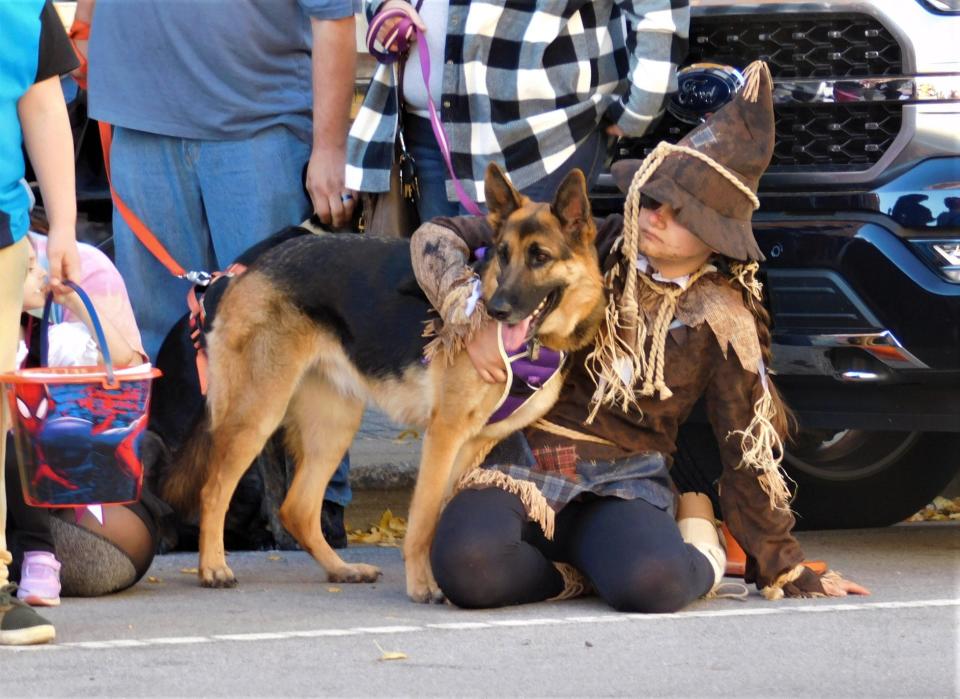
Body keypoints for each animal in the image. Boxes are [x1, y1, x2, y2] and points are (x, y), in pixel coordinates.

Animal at [174, 163, 600, 600]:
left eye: (540, 257)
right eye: (502, 254)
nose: (495, 310)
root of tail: (243, 272)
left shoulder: (470, 444)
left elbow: (439, 515)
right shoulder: (444, 435)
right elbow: (424, 519)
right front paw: (422, 585)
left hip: (333, 426)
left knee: (298, 509)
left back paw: (341, 569)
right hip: (259, 414)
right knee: (214, 491)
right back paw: (213, 568)